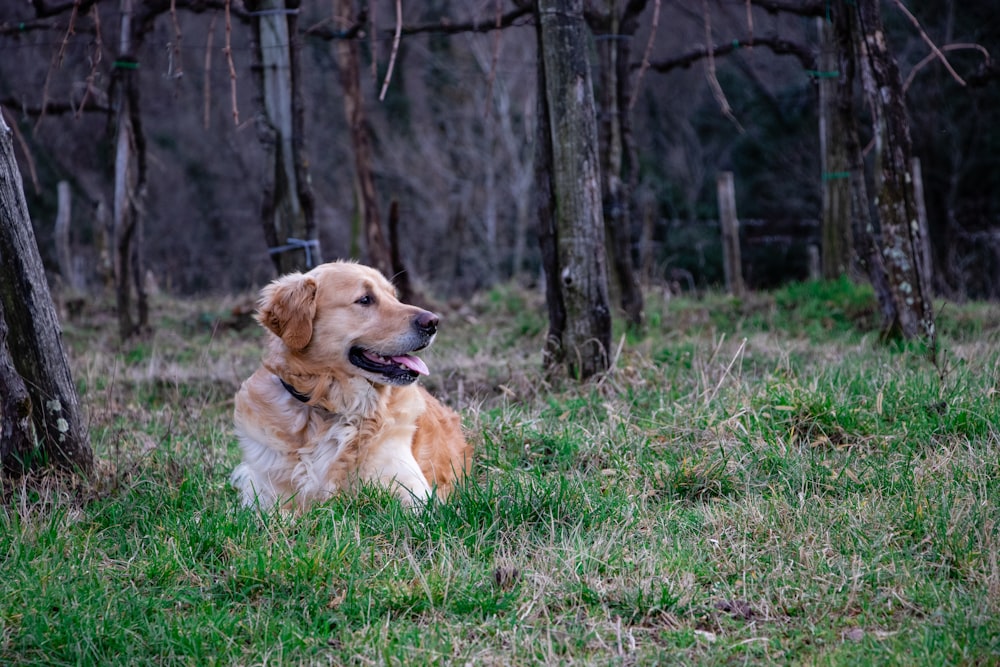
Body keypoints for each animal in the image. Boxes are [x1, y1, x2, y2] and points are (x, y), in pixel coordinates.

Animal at [230, 260, 472, 512]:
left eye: (394, 296)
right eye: (365, 299)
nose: (433, 322)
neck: (328, 410)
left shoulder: (413, 491)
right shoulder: (264, 497)